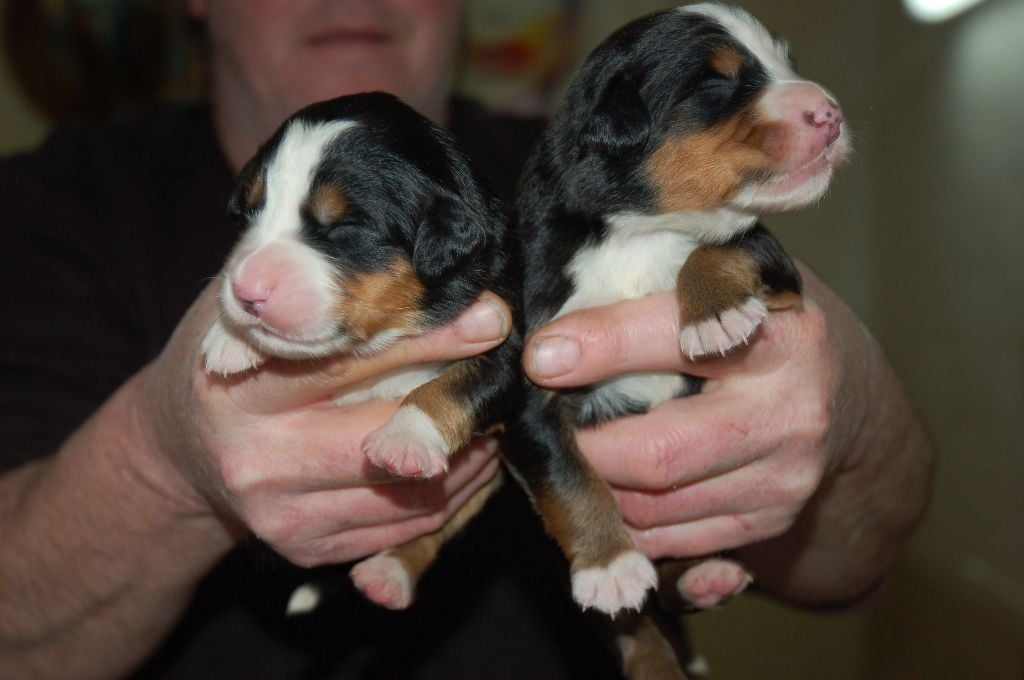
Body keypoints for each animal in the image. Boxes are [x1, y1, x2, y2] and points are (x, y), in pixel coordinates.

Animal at [201, 91, 520, 610]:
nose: (246, 291)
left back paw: (388, 574)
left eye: (344, 226)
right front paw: (230, 337)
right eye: (250, 214)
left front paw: (404, 439)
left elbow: (458, 384)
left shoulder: (510, 345)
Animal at [501, 2, 847, 675]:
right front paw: (609, 565)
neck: (643, 233)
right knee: (633, 625)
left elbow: (719, 246)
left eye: (787, 63)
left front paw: (714, 314)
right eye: (715, 84)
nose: (829, 111)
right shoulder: (530, 379)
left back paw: (706, 573)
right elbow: (566, 475)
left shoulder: (775, 262)